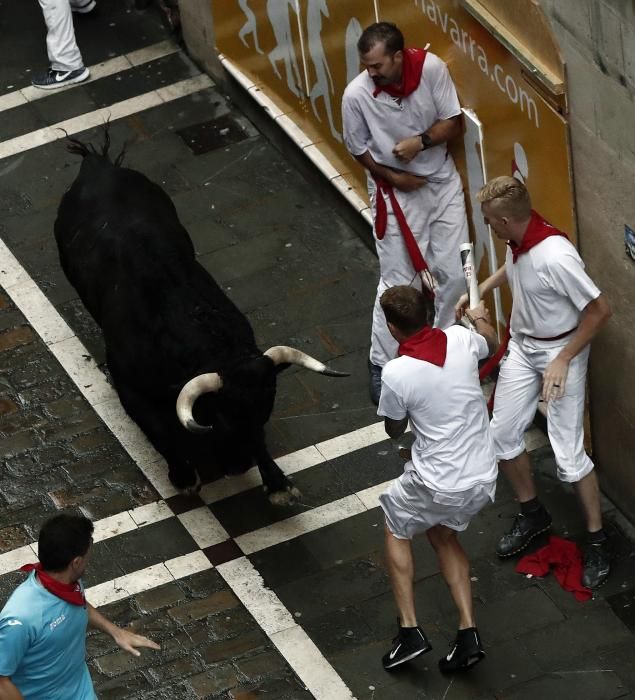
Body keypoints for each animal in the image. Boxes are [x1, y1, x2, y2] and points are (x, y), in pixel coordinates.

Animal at [55, 134, 350, 504]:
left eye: (266, 407)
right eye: (220, 413)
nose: (239, 466)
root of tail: (98, 166)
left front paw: (278, 484)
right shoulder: (129, 387)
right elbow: (160, 434)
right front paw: (183, 477)